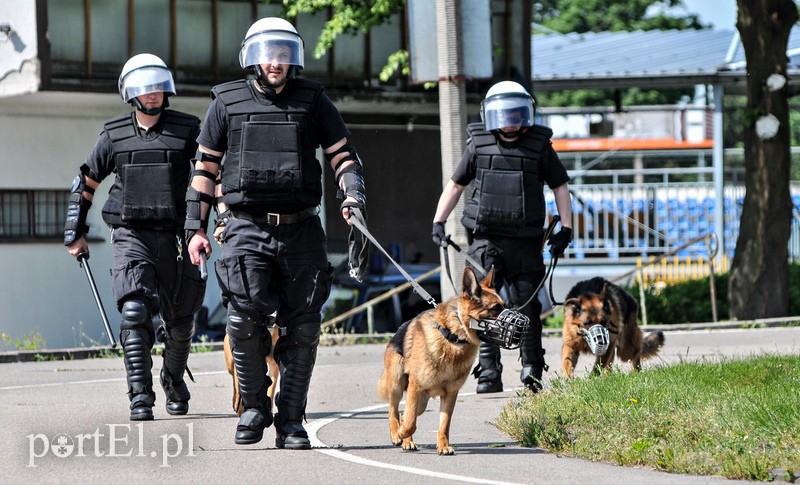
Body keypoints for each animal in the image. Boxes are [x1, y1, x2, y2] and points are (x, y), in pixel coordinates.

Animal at [376, 264, 500, 454]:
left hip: (421, 401)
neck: (453, 337)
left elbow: (444, 424)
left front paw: (443, 446)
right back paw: (398, 435)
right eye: (496, 308)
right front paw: (402, 432)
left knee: (404, 413)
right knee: (394, 410)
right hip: (398, 385)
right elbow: (410, 422)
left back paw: (407, 441)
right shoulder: (415, 386)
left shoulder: (450, 394)